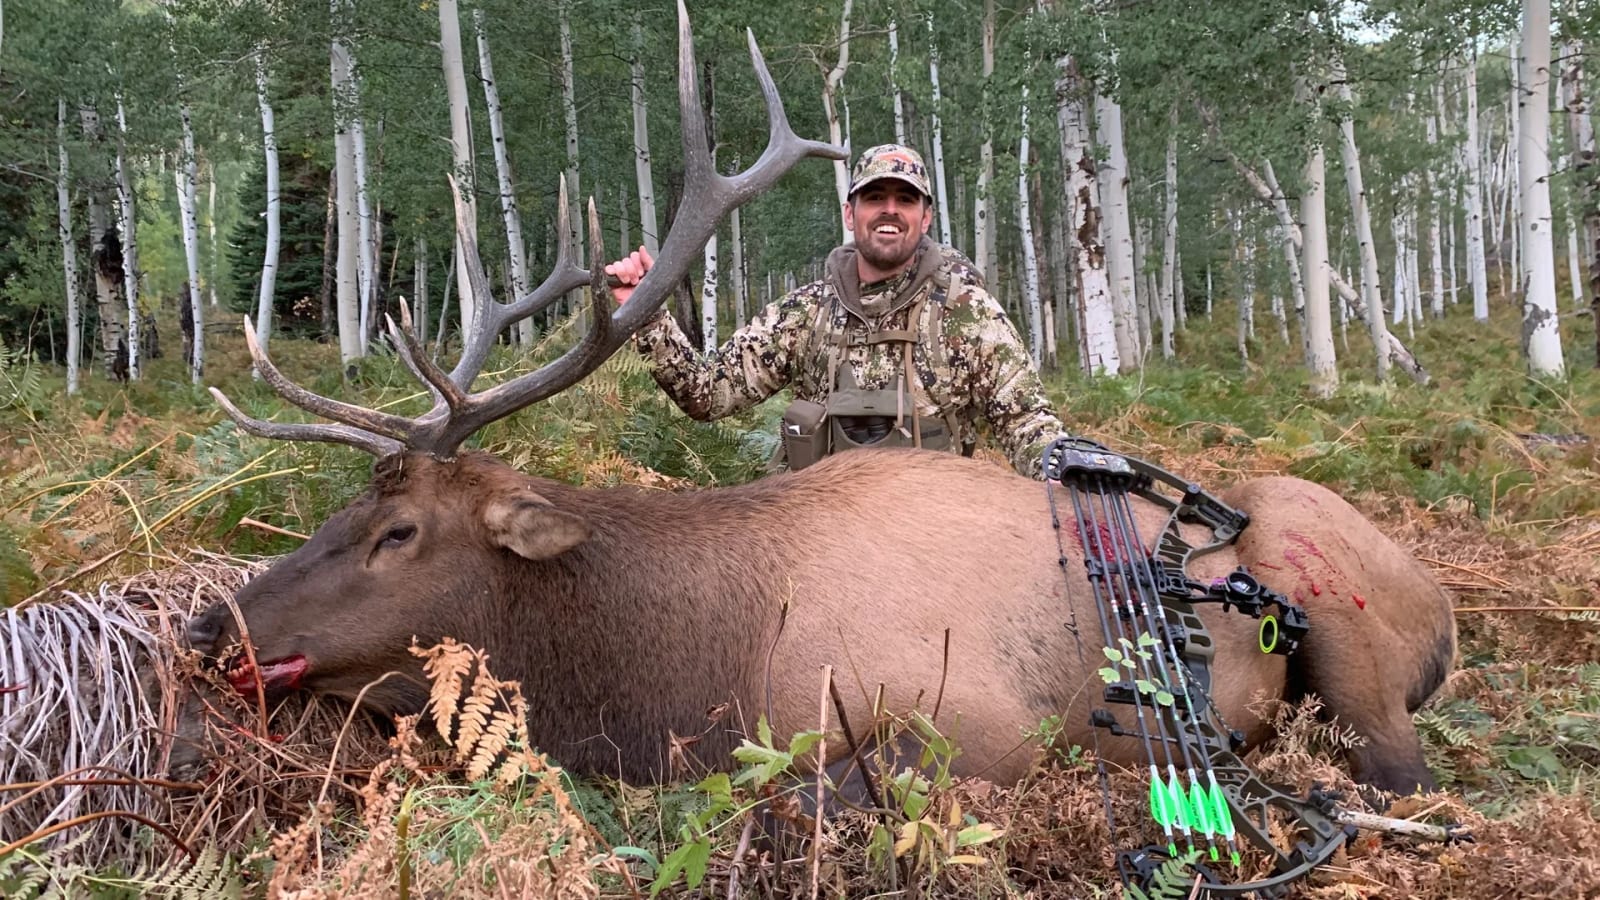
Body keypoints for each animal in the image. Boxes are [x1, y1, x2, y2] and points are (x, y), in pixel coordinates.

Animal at [182, 4, 1455, 828]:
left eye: (399, 534)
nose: (204, 627)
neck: (686, 664)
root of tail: (1441, 600)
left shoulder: (978, 724)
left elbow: (809, 787)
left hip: (1336, 621)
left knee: (1396, 763)